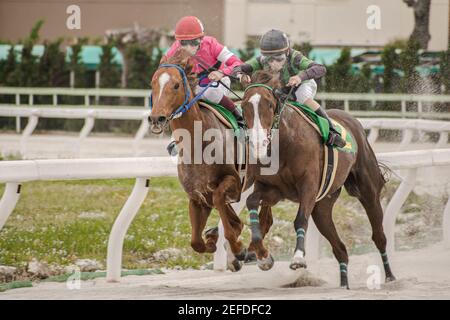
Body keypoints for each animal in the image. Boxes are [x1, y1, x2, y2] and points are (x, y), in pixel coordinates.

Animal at [149, 49, 255, 270]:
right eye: (152, 84)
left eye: (176, 85)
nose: (156, 119)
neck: (198, 144)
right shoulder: (197, 197)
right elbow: (196, 242)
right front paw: (214, 240)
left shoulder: (233, 181)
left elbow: (221, 201)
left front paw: (238, 248)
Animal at [241, 72, 396, 288]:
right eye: (243, 105)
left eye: (270, 105)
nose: (258, 144)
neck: (285, 143)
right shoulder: (273, 190)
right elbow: (251, 201)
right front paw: (260, 254)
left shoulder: (308, 186)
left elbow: (300, 219)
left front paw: (298, 258)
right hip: (322, 207)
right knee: (340, 249)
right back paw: (343, 284)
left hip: (368, 192)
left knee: (379, 236)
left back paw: (389, 276)